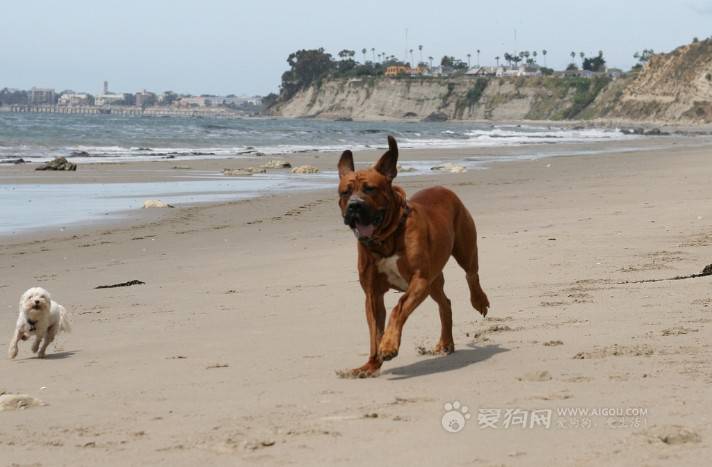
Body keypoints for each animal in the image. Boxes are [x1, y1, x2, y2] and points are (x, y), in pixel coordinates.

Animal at [340, 135, 490, 376]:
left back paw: (479, 301)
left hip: (464, 249)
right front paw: (371, 364)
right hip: (434, 281)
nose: (354, 206)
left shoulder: (418, 281)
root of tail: (444, 189)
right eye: (345, 192)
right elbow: (374, 331)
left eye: (370, 189)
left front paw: (389, 345)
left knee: (471, 274)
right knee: (445, 304)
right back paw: (446, 343)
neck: (386, 239)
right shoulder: (372, 294)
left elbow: (398, 307)